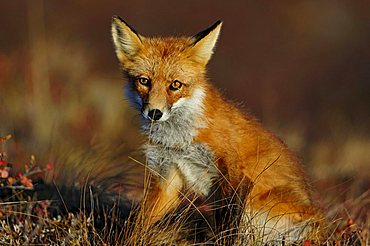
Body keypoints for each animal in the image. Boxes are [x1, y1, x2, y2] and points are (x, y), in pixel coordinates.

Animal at [110, 16, 324, 243]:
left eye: (175, 85)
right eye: (144, 81)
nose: (154, 113)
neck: (180, 139)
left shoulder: (234, 173)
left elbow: (228, 228)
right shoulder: (167, 176)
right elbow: (138, 224)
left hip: (259, 206)